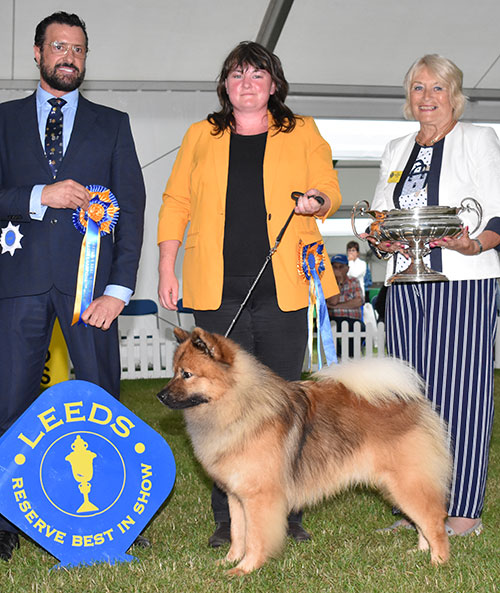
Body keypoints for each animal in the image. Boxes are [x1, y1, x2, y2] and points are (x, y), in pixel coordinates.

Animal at [158, 326, 452, 576]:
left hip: (407, 483)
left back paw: (438, 562)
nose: (160, 395)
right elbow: (238, 534)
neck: (238, 405)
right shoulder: (236, 496)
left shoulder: (259, 498)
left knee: (434, 521)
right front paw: (230, 561)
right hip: (398, 485)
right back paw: (419, 552)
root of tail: (413, 400)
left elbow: (255, 538)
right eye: (173, 371)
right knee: (422, 522)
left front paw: (245, 569)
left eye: (187, 374)